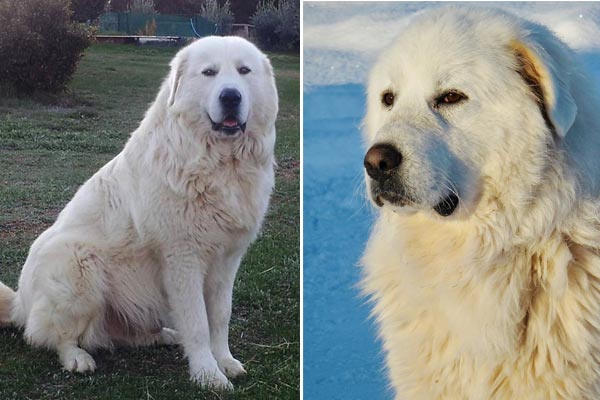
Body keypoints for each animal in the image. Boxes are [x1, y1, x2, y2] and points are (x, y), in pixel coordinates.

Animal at [0, 36, 278, 390]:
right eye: (209, 73)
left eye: (244, 71)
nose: (231, 96)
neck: (217, 163)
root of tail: (20, 303)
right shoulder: (183, 259)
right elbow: (198, 322)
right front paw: (207, 374)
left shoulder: (227, 259)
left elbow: (219, 316)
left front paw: (225, 361)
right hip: (77, 261)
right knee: (49, 336)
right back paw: (76, 358)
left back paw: (167, 336)